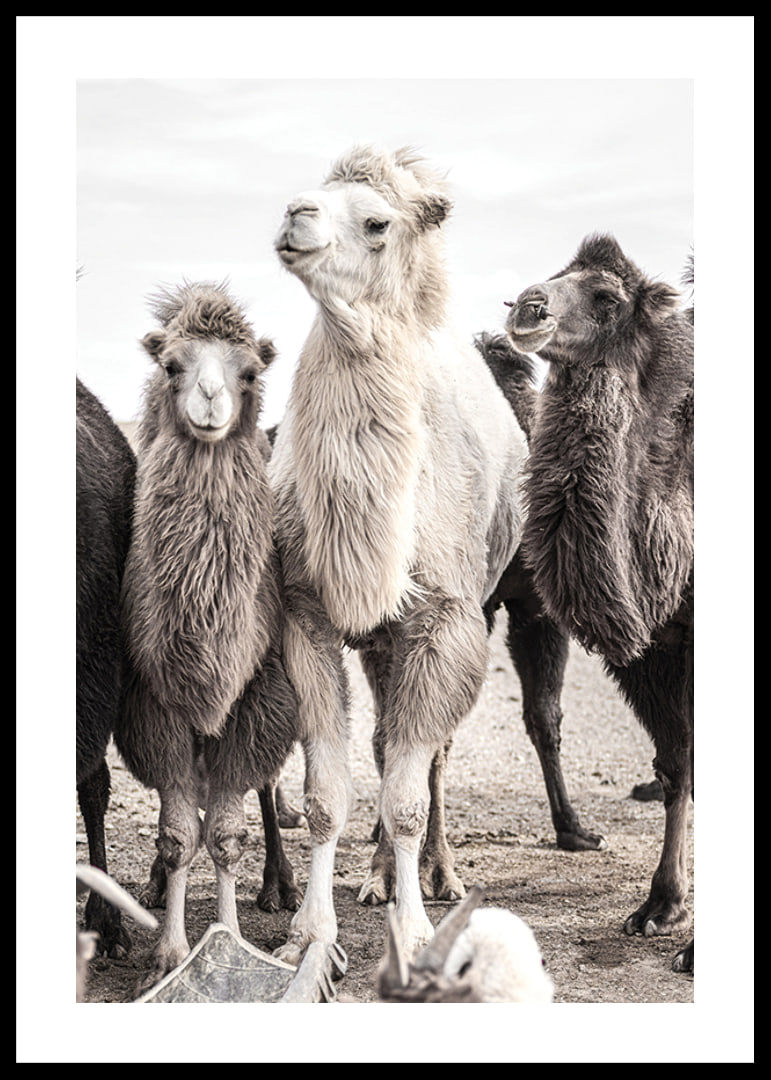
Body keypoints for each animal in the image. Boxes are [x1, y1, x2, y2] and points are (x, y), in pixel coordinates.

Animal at [268, 145, 530, 961]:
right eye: (316, 195)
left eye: (377, 222)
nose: (295, 214)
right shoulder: (307, 615)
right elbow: (327, 794)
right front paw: (309, 935)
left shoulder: (445, 621)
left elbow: (412, 795)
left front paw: (414, 935)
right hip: (382, 640)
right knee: (386, 743)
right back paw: (378, 877)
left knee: (430, 757)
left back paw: (435, 875)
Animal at [502, 233, 694, 972]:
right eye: (559, 274)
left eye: (607, 298)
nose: (527, 307)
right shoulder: (651, 650)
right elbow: (675, 765)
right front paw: (659, 907)